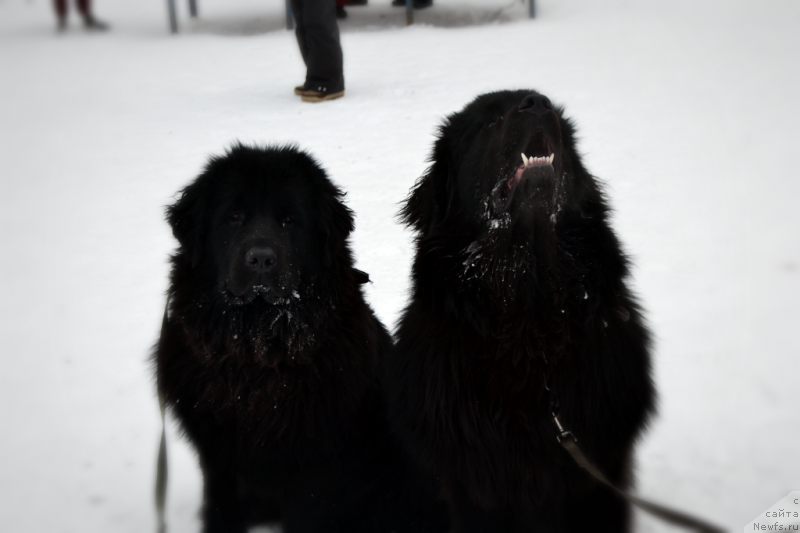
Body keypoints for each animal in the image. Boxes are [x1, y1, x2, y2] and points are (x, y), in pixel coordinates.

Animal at [153, 142, 446, 532]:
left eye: (289, 221)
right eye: (234, 217)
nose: (261, 259)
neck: (257, 354)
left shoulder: (313, 476)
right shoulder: (219, 465)